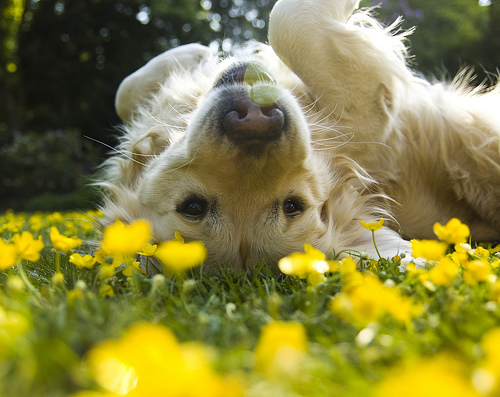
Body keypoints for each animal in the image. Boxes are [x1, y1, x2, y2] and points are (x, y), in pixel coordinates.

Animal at [98, 0, 500, 270]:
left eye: (292, 206)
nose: (254, 120)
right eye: (193, 207)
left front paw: (193, 52)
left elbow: (124, 91)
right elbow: (289, 21)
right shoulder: (370, 108)